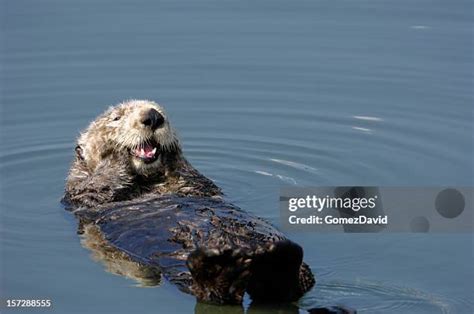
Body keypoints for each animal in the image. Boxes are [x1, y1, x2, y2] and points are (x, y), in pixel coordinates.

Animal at [62, 100, 314, 304]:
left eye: (161, 111)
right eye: (116, 117)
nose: (153, 116)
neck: (147, 183)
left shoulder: (195, 183)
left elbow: (189, 175)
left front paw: (172, 151)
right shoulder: (80, 194)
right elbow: (98, 185)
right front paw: (114, 154)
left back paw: (278, 261)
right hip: (180, 267)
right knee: (215, 295)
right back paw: (220, 269)